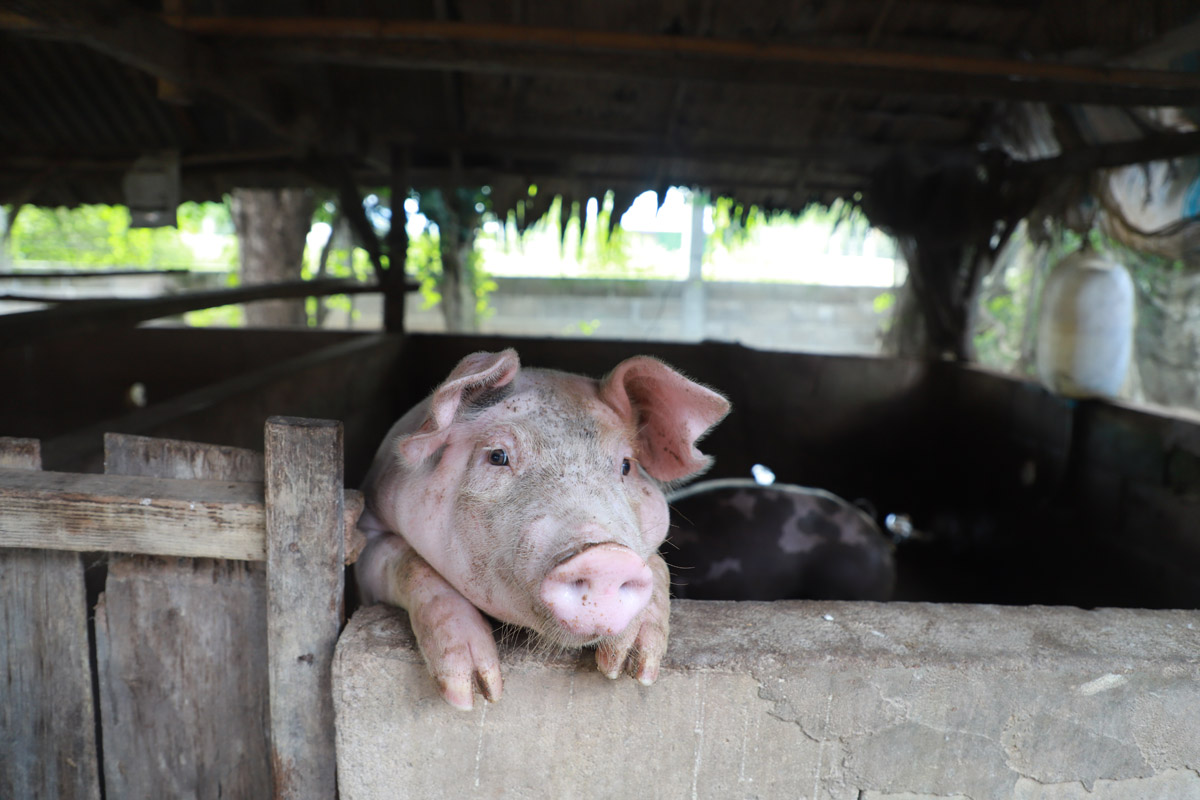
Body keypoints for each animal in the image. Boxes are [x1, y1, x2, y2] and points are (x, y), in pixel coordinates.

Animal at [352, 347, 729, 710]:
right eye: (498, 456)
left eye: (626, 465)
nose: (606, 557)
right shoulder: (367, 536)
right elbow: (411, 566)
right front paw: (472, 695)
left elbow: (657, 565)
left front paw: (631, 669)